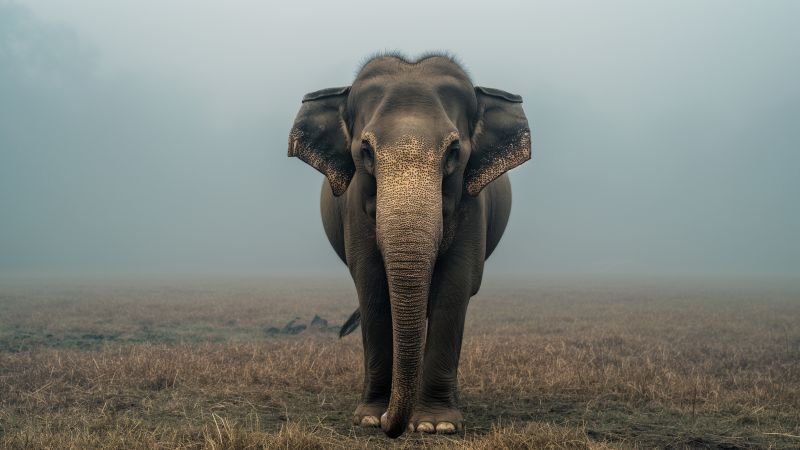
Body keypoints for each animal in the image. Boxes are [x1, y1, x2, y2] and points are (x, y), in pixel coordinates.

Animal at [287, 53, 531, 438]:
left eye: (454, 151)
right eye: (365, 151)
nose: (391, 424)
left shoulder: (472, 205)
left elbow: (456, 285)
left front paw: (436, 424)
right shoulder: (355, 208)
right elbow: (371, 285)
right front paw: (370, 418)